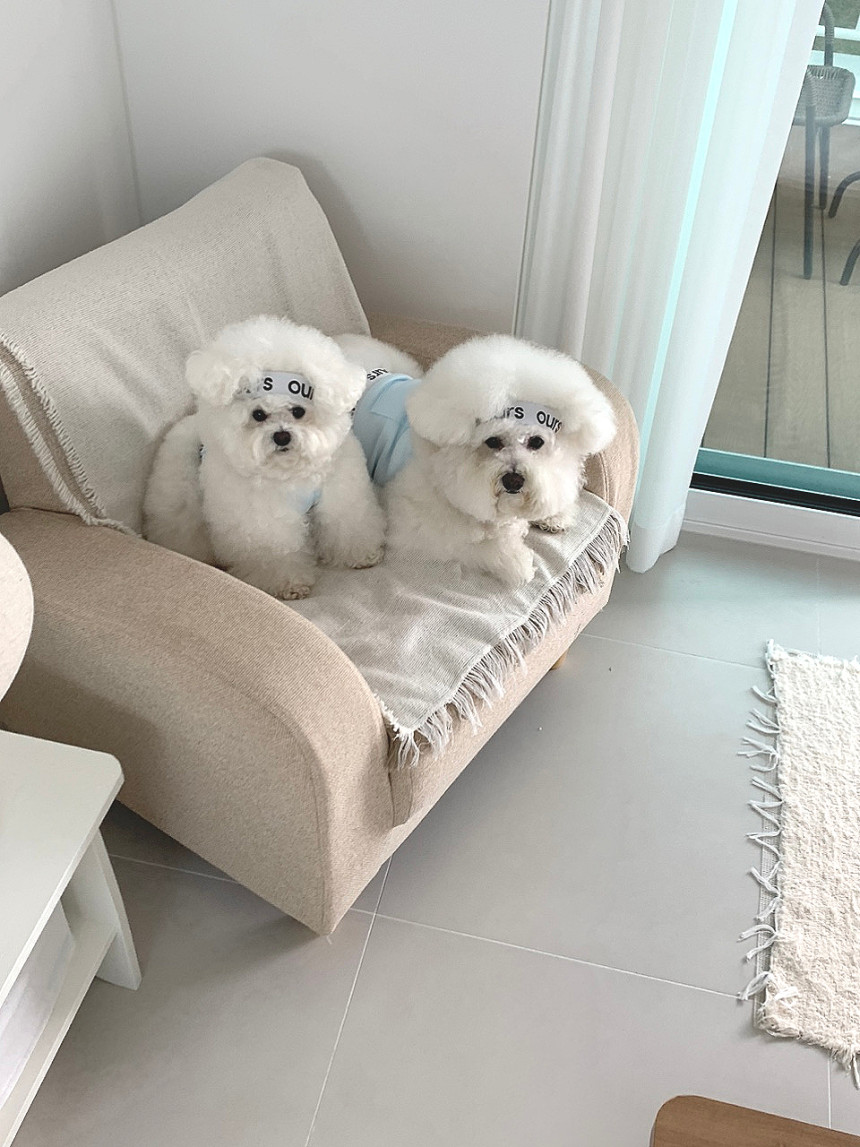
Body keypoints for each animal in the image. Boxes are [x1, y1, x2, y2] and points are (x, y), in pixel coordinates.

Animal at [144, 316, 386, 599]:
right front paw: (288, 584)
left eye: (298, 411)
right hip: (179, 502)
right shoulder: (263, 523)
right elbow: (276, 551)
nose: (281, 436)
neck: (289, 473)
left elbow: (347, 524)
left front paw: (362, 555)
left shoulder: (342, 495)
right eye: (258, 415)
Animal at [338, 332, 616, 588]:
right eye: (492, 441)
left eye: (536, 442)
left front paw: (554, 516)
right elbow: (473, 543)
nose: (513, 481)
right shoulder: (418, 525)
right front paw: (516, 561)